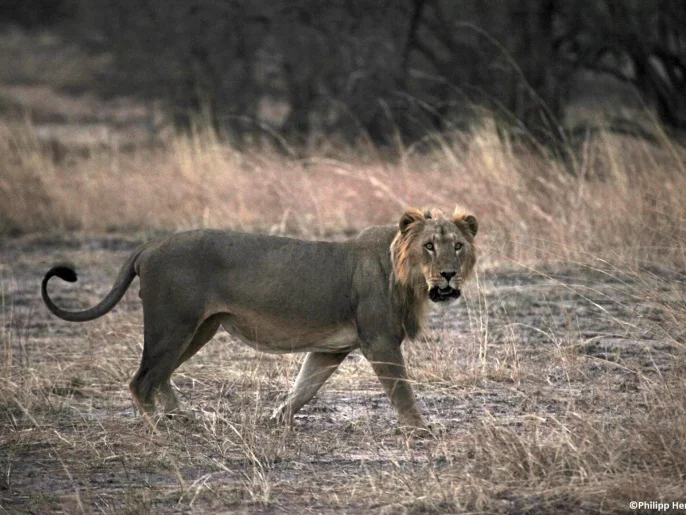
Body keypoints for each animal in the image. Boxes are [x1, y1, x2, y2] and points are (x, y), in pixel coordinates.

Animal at [41, 207, 478, 430]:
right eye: (429, 246)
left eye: (458, 246)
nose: (448, 275)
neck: (409, 279)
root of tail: (148, 246)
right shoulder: (379, 341)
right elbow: (401, 390)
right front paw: (421, 429)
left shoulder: (331, 349)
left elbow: (304, 388)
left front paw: (276, 418)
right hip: (173, 324)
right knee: (142, 379)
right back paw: (159, 426)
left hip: (199, 328)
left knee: (160, 375)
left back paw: (183, 415)